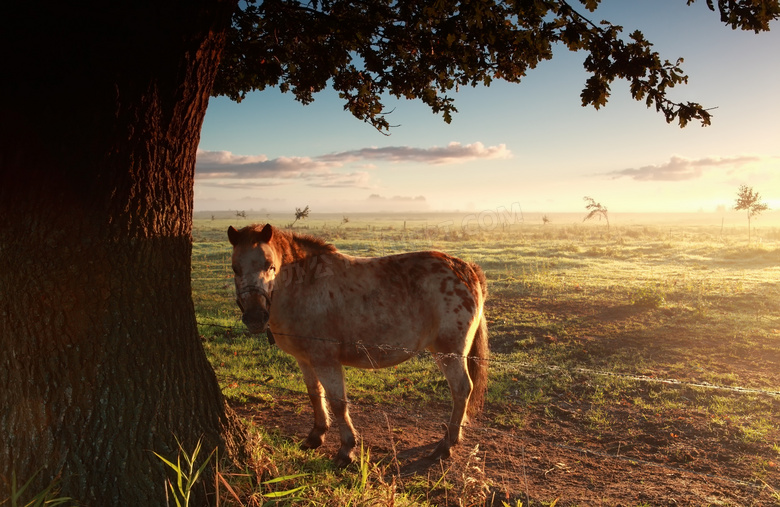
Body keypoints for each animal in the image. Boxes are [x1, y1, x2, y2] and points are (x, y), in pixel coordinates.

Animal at [225, 224, 488, 466]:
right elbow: (315, 394)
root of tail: (465, 269)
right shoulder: (305, 359)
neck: (306, 287)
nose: (255, 317)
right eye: (235, 268)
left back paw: (446, 445)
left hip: (449, 352)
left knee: (462, 390)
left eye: (270, 266)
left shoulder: (326, 360)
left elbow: (338, 403)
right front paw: (316, 435)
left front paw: (346, 450)